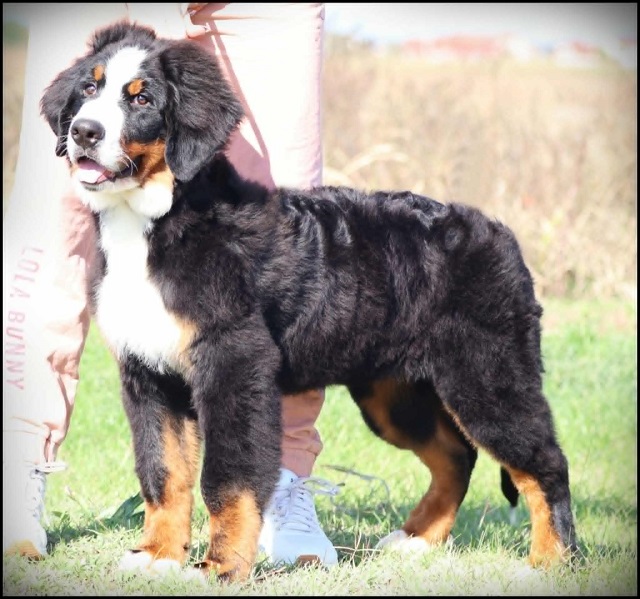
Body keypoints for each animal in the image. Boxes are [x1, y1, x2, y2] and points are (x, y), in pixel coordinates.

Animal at [42, 22, 576, 580]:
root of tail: (498, 232)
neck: (157, 221)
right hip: (395, 391)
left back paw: (549, 560)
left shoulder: (233, 364)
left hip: (486, 377)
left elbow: (228, 477)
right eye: (89, 89)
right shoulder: (149, 373)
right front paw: (157, 554)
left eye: (142, 98)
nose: (84, 132)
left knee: (544, 462)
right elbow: (163, 472)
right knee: (456, 455)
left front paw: (221, 566)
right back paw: (415, 540)